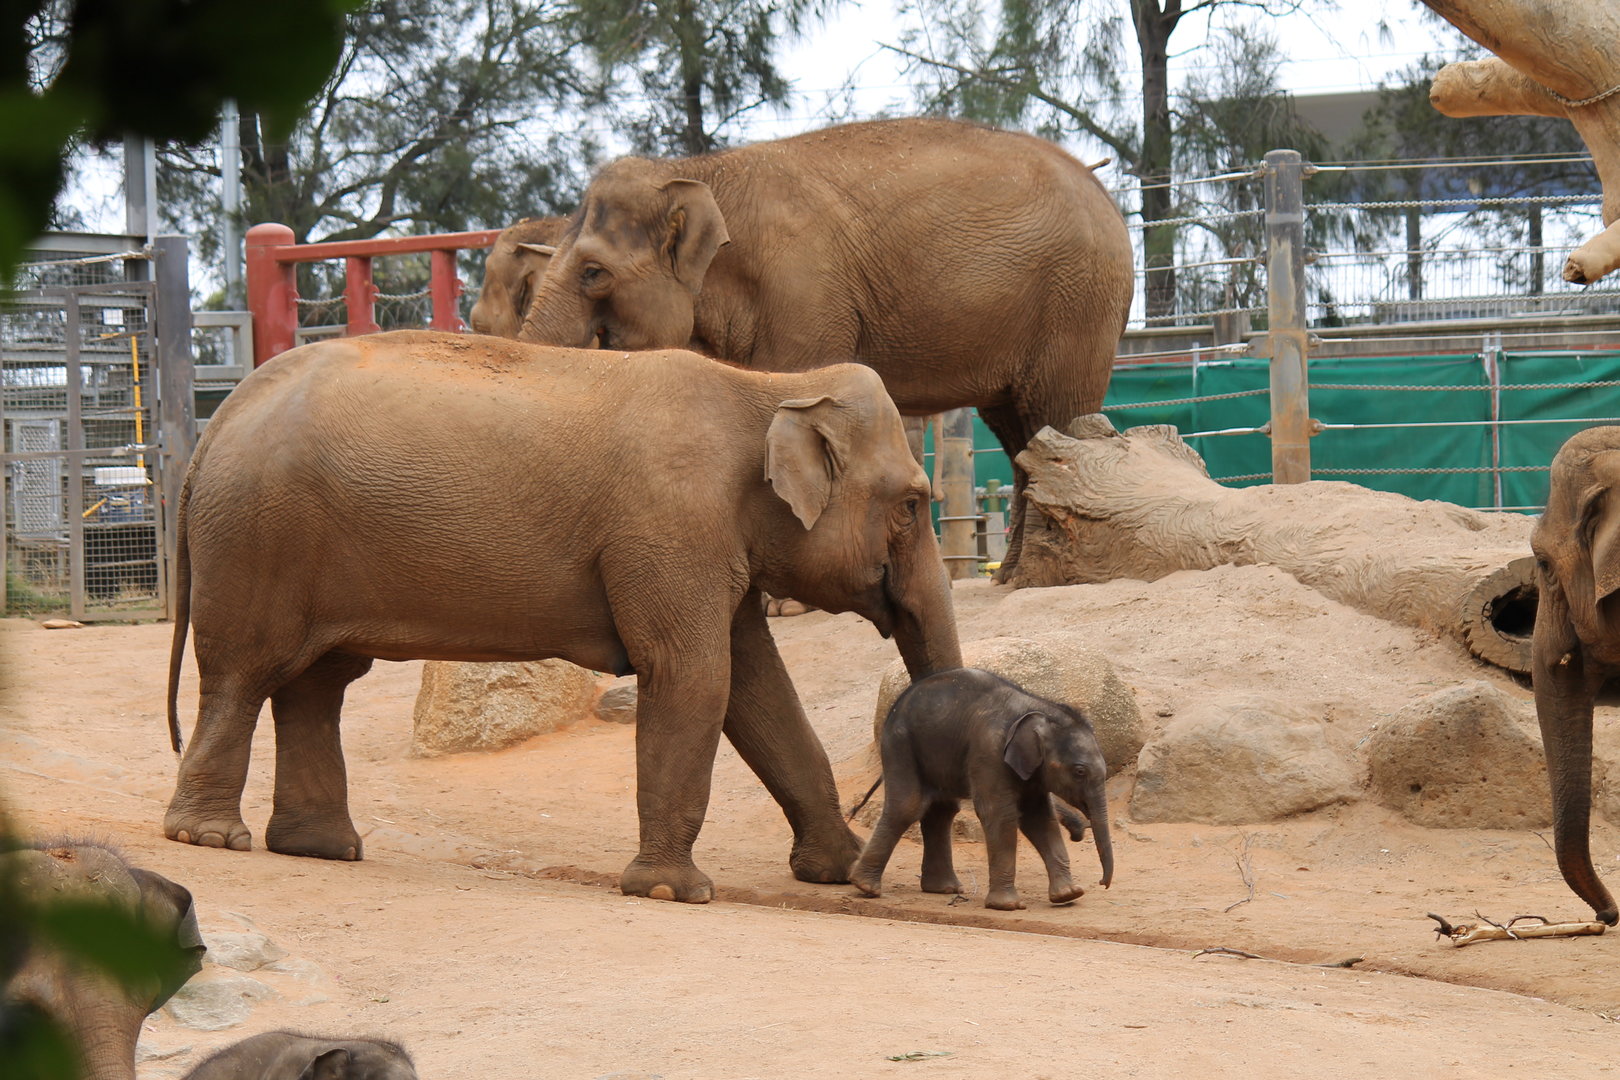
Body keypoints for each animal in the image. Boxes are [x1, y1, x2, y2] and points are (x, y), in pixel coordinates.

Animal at [162, 330, 962, 904]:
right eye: (912, 504)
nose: (934, 891)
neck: (768, 388)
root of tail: (213, 428)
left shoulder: (710, 545)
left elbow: (758, 688)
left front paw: (838, 872)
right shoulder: (670, 529)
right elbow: (694, 674)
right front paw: (673, 892)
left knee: (317, 685)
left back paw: (322, 848)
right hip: (259, 537)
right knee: (245, 675)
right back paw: (210, 838)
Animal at [513, 116, 1136, 580]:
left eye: (593, 272)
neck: (693, 170)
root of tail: (1104, 190)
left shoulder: (805, 292)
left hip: (1078, 301)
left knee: (1056, 414)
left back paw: (1041, 577)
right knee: (1016, 430)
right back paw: (1011, 576)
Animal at [848, 668, 1114, 911]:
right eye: (1079, 772)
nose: (1102, 883)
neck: (1038, 708)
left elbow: (1039, 818)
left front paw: (1069, 895)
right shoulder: (989, 751)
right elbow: (1000, 814)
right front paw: (1007, 906)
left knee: (941, 810)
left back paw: (943, 889)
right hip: (901, 744)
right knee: (908, 806)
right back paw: (865, 886)